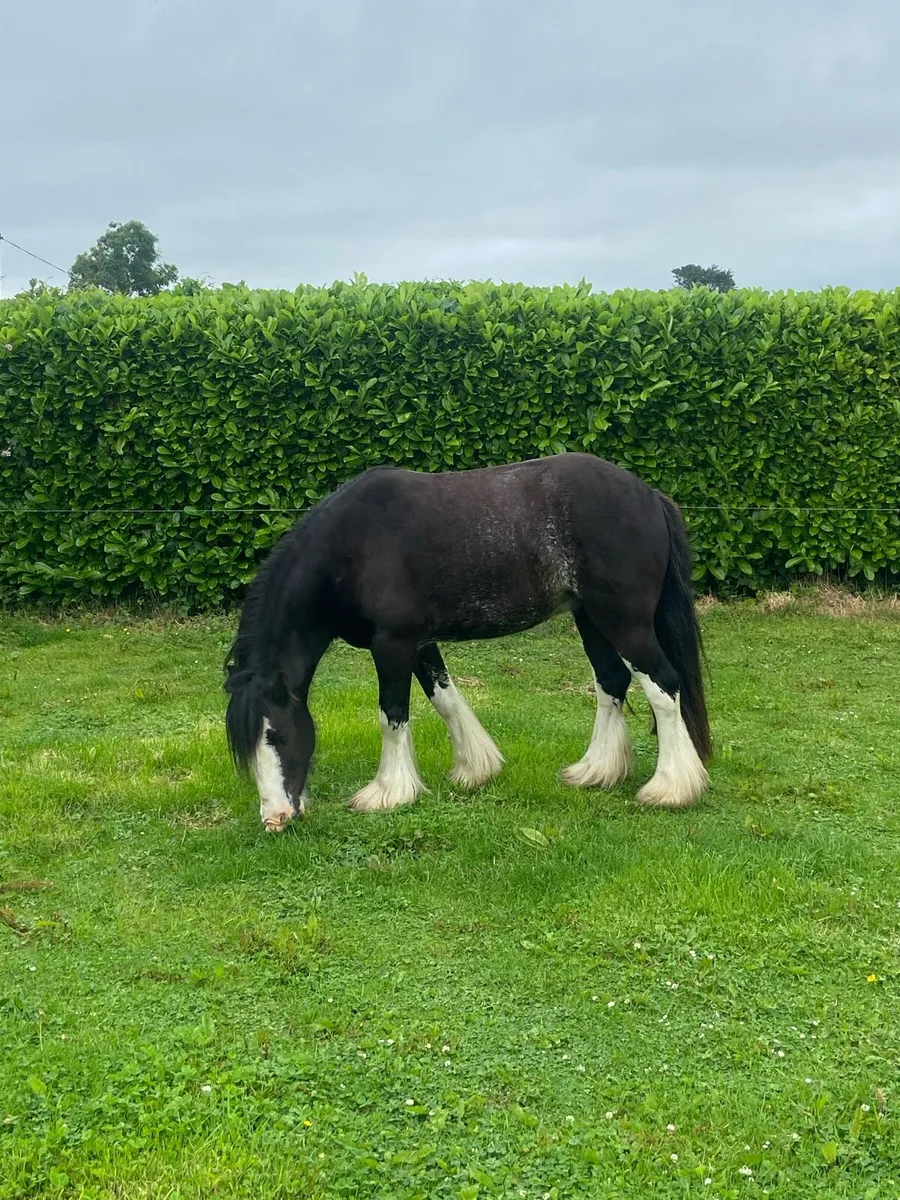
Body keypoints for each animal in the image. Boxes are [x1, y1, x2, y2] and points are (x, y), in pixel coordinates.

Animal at [224, 452, 711, 832]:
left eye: (276, 736)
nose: (275, 818)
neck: (351, 546)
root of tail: (648, 496)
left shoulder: (393, 644)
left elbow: (392, 715)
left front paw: (387, 793)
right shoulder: (419, 643)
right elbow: (444, 697)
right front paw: (476, 769)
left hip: (625, 621)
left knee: (664, 685)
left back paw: (671, 788)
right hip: (591, 619)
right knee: (611, 682)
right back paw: (596, 771)